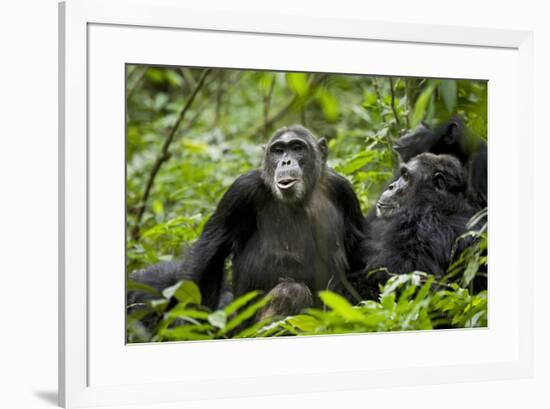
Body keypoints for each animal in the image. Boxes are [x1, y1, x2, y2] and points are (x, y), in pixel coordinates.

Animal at [129, 124, 366, 316]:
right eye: (278, 150)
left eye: (298, 148)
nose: (285, 161)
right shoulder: (241, 191)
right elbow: (208, 253)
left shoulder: (344, 190)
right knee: (292, 291)